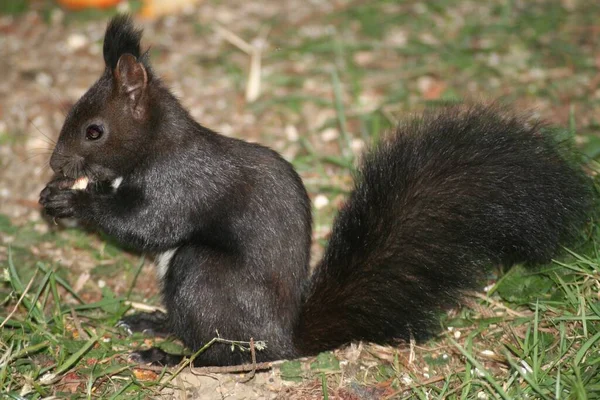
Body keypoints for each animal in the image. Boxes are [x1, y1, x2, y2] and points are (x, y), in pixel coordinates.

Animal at [39, 14, 592, 366]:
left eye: (94, 131)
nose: (54, 163)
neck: (157, 144)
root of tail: (286, 339)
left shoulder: (183, 182)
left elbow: (148, 224)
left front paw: (73, 200)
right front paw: (56, 194)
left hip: (203, 277)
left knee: (223, 355)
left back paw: (164, 356)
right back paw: (153, 324)